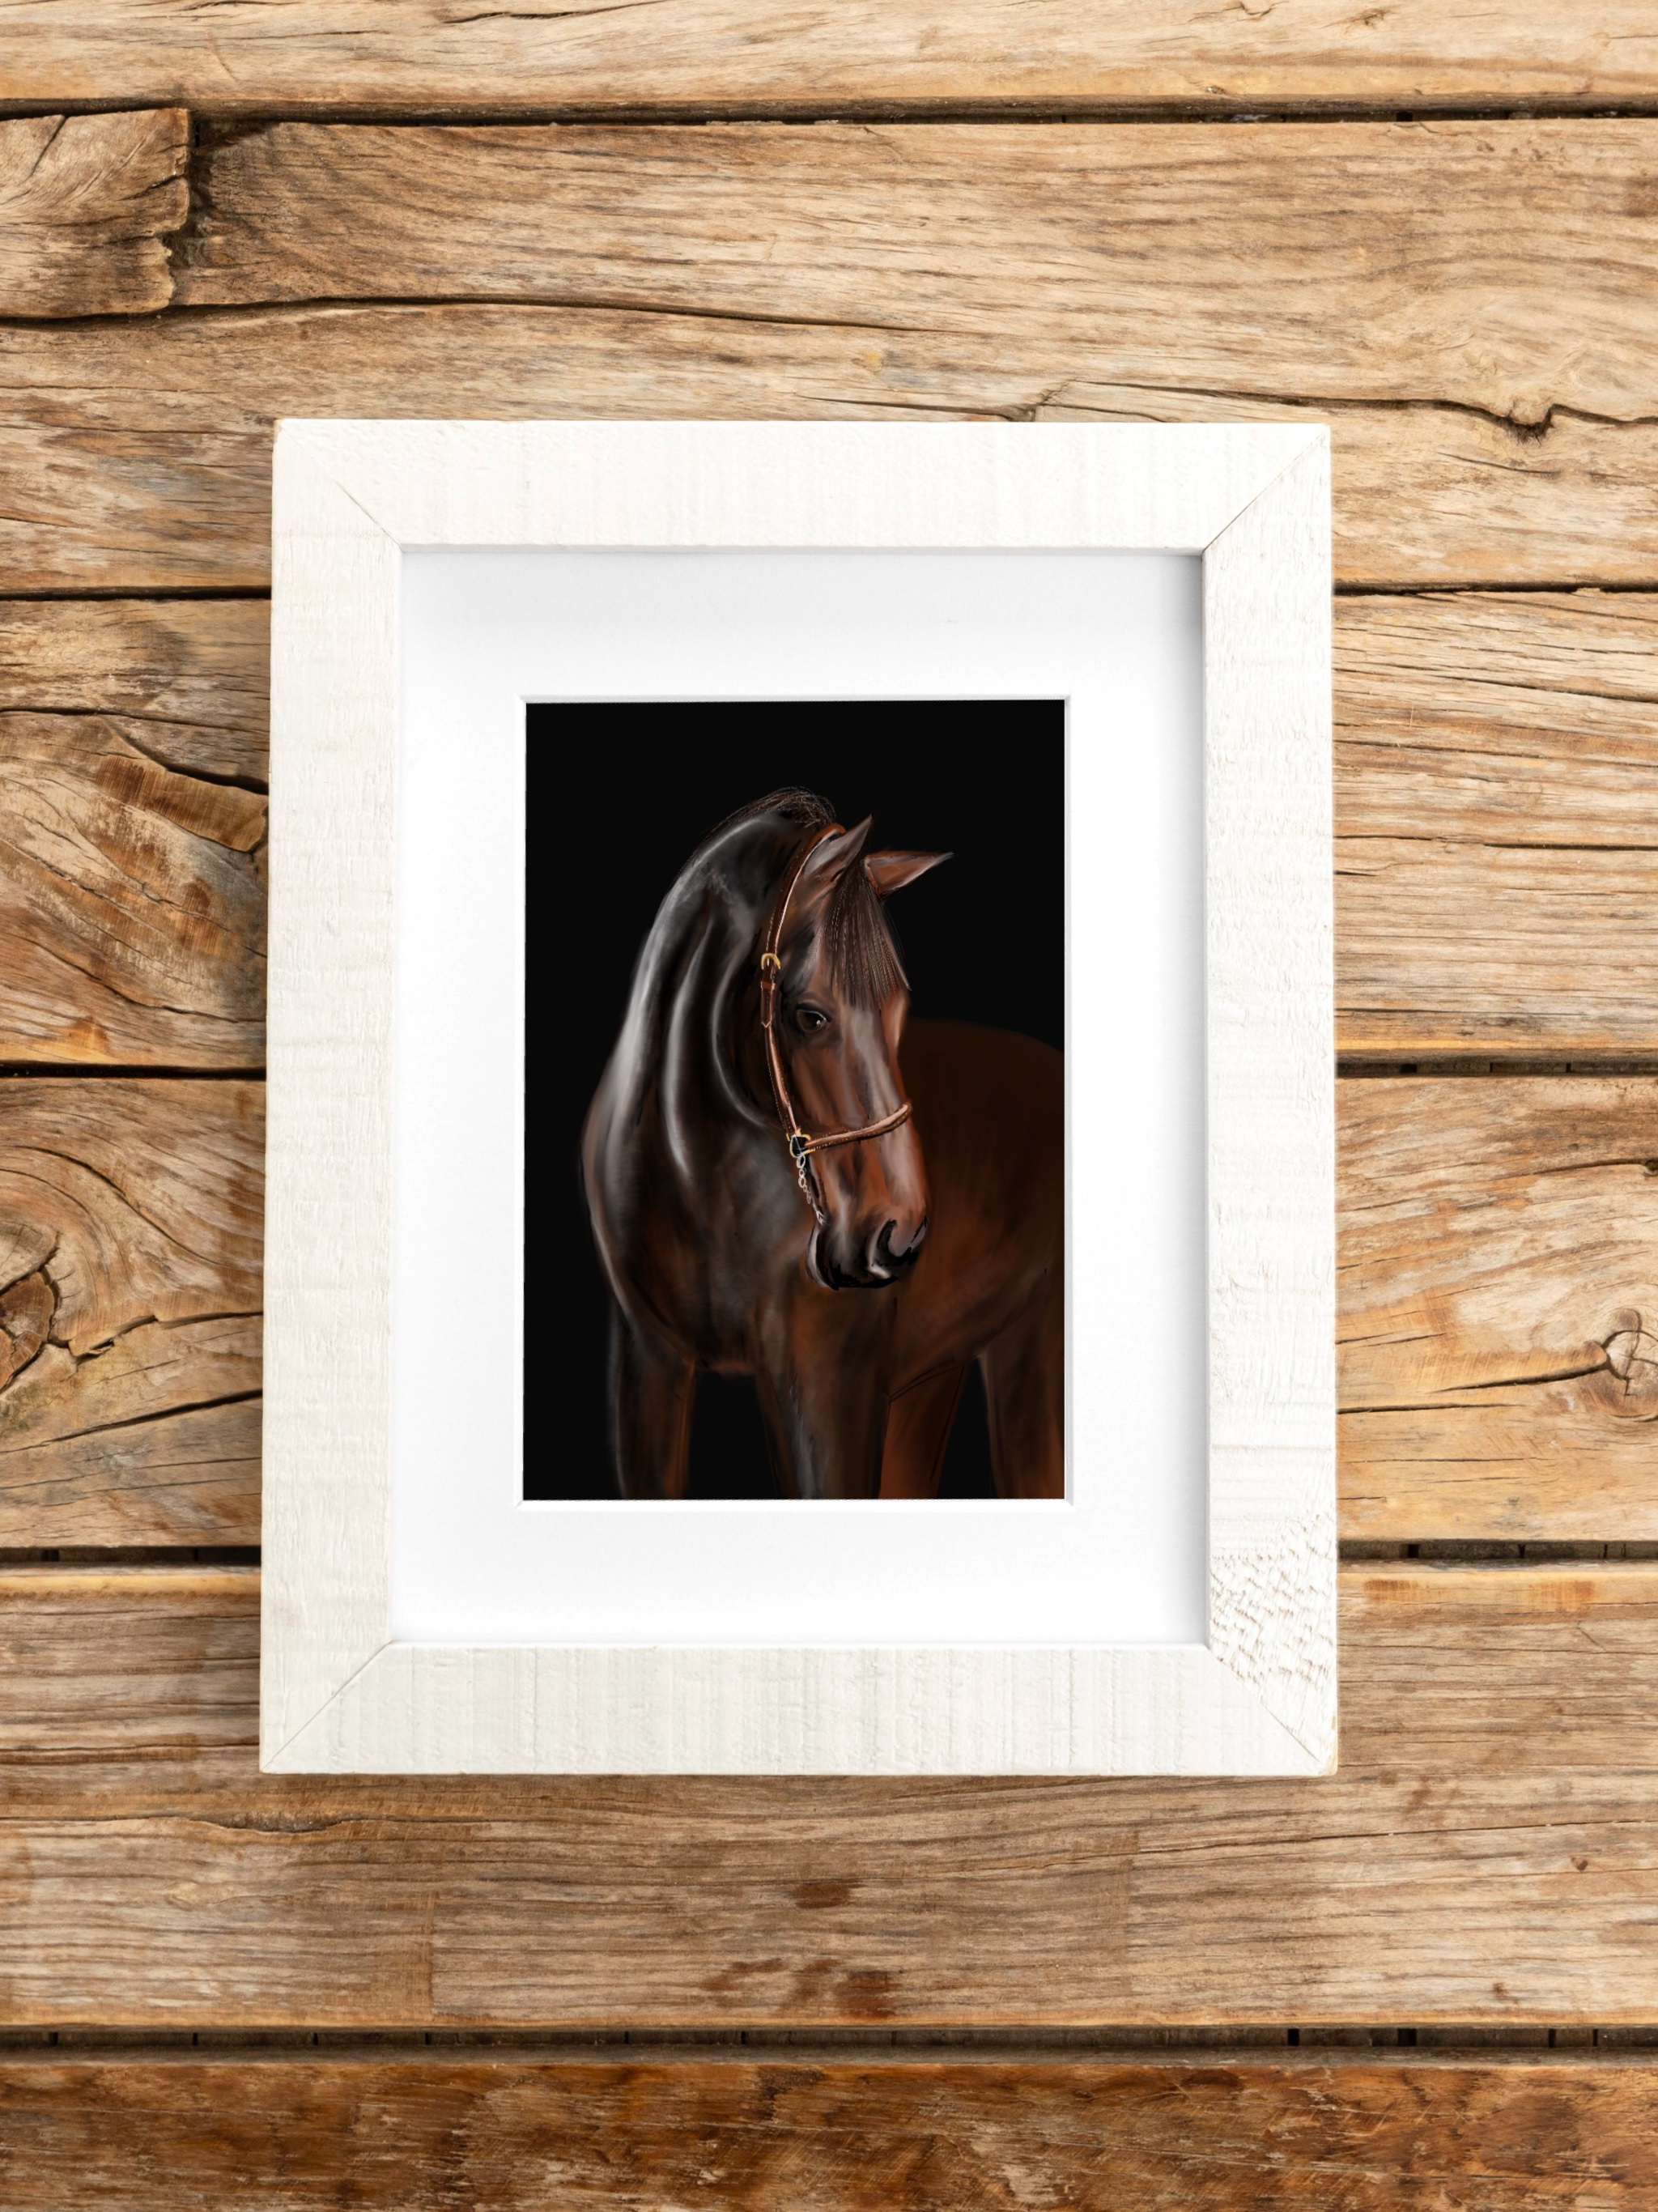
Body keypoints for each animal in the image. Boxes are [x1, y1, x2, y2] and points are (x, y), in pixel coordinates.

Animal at [580, 787, 1064, 1500]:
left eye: (899, 1008)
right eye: (810, 1016)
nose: (898, 1237)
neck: (701, 1182)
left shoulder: (829, 1383)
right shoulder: (648, 1369)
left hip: (1029, 1357)